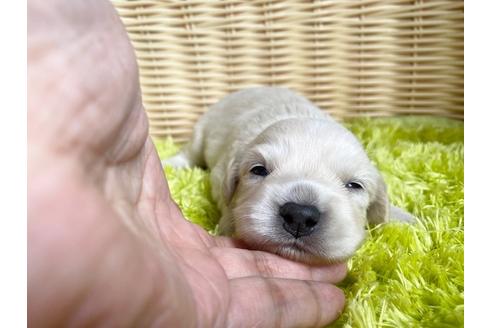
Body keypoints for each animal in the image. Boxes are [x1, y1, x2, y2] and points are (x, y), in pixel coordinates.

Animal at [163, 86, 414, 264]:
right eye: (259, 170)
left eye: (354, 185)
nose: (300, 216)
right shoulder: (220, 174)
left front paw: (407, 218)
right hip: (202, 130)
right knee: (189, 153)